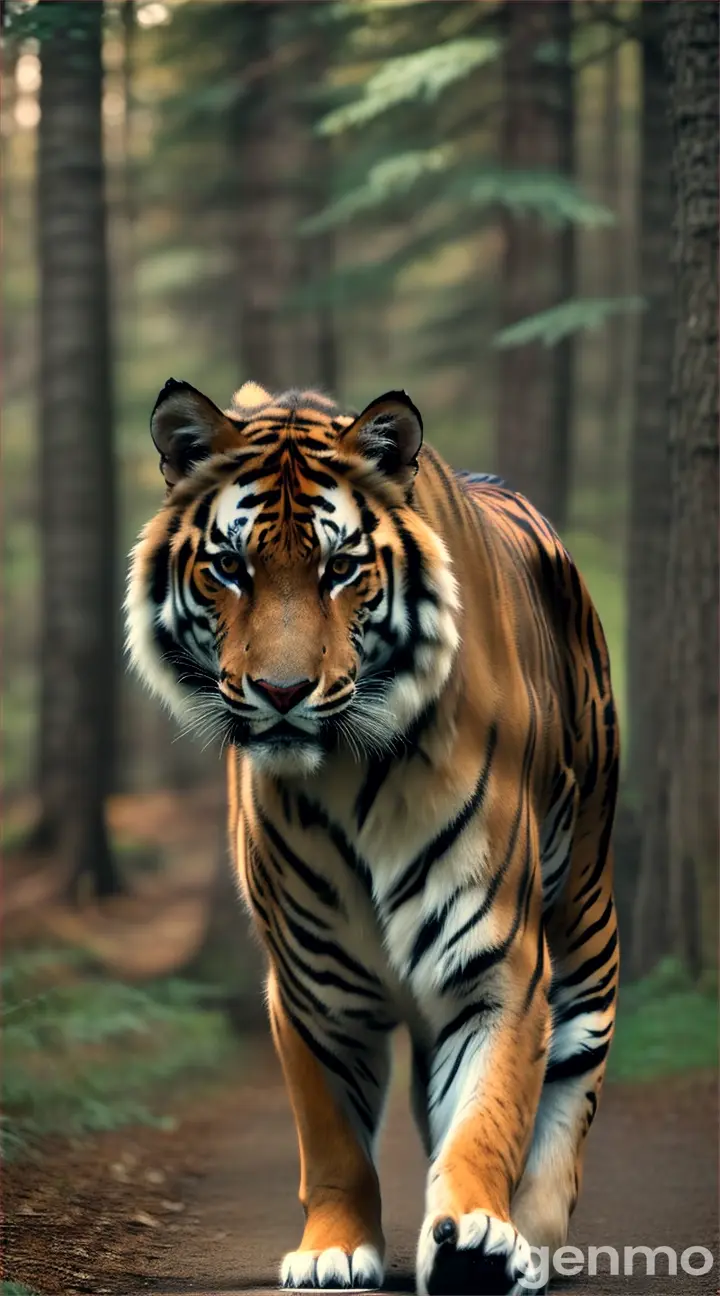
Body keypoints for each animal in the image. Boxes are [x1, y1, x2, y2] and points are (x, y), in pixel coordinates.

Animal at [124, 378, 618, 1296]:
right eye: (230, 568)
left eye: (341, 568)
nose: (283, 692)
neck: (351, 779)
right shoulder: (312, 984)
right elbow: (334, 1139)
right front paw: (334, 1250)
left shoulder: (498, 960)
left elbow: (489, 1113)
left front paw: (479, 1242)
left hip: (587, 911)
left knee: (574, 1074)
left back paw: (534, 1237)